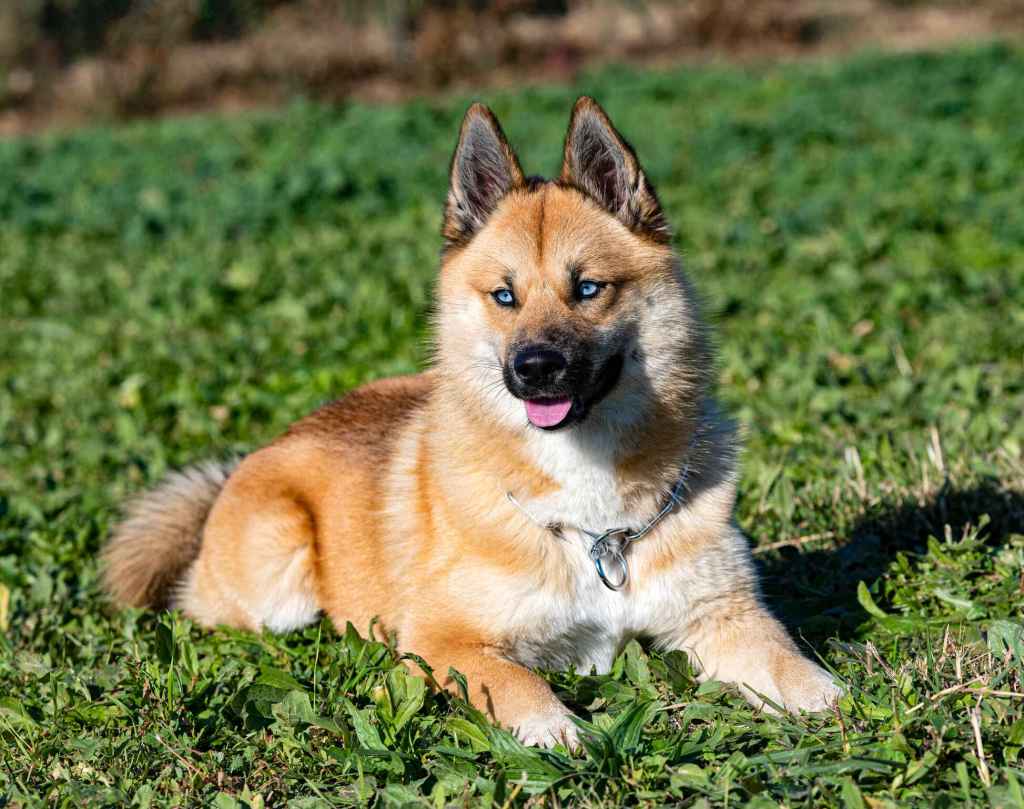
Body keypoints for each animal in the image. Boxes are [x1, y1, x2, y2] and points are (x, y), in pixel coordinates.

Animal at [103, 98, 839, 749]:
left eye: (588, 288)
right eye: (504, 295)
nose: (535, 367)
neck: (595, 524)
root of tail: (252, 458)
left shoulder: (722, 616)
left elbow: (791, 666)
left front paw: (834, 702)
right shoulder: (444, 640)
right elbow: (516, 684)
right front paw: (555, 731)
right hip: (275, 576)